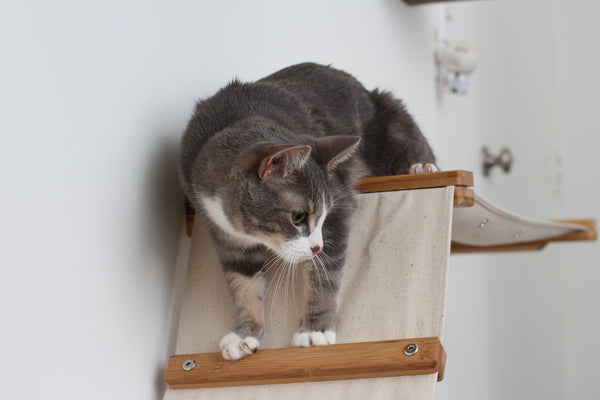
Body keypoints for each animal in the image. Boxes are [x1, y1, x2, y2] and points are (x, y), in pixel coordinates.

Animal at [178, 62, 436, 360]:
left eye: (322, 215)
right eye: (298, 217)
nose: (316, 248)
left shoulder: (339, 204)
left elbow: (324, 274)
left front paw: (315, 330)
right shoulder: (224, 234)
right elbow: (243, 283)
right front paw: (245, 335)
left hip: (391, 121)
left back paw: (421, 167)